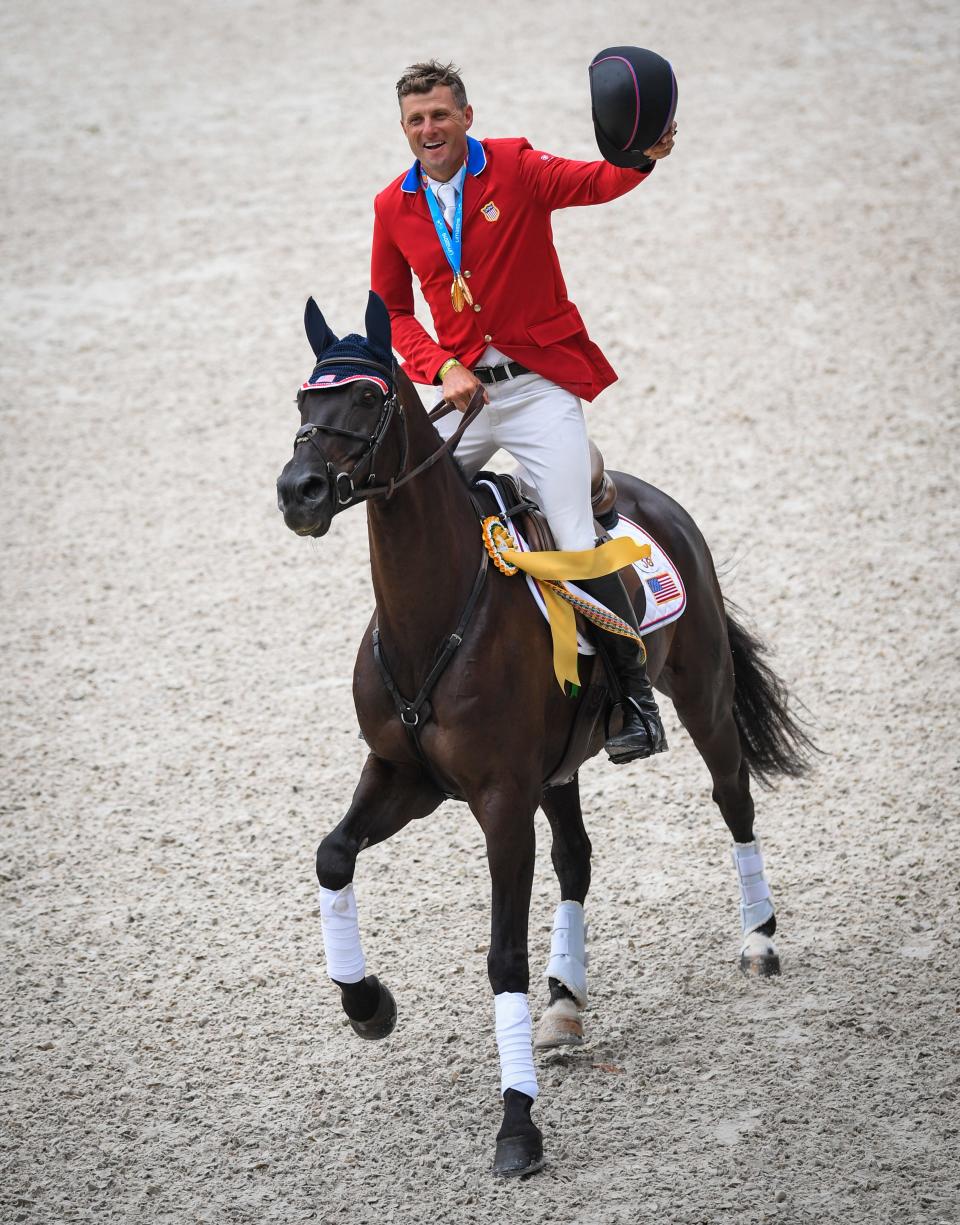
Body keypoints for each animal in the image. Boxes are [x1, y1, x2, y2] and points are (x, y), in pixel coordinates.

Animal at [274, 291, 813, 1180]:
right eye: (301, 402)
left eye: (368, 399)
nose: (299, 490)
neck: (433, 614)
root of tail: (648, 496)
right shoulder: (401, 773)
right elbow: (332, 854)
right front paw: (368, 1003)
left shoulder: (500, 801)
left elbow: (502, 956)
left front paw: (517, 1126)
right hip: (559, 769)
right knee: (578, 858)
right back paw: (564, 1003)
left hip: (701, 695)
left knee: (732, 799)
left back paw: (759, 940)